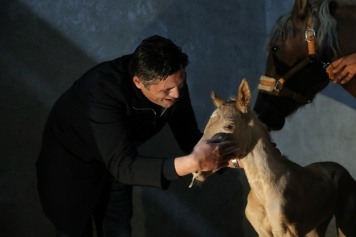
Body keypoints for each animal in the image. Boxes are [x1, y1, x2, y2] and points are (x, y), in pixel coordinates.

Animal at [192, 79, 356, 237]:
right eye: (207, 126)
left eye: (229, 126)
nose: (196, 168)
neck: (263, 192)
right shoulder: (262, 232)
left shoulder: (286, 232)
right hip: (316, 225)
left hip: (346, 223)